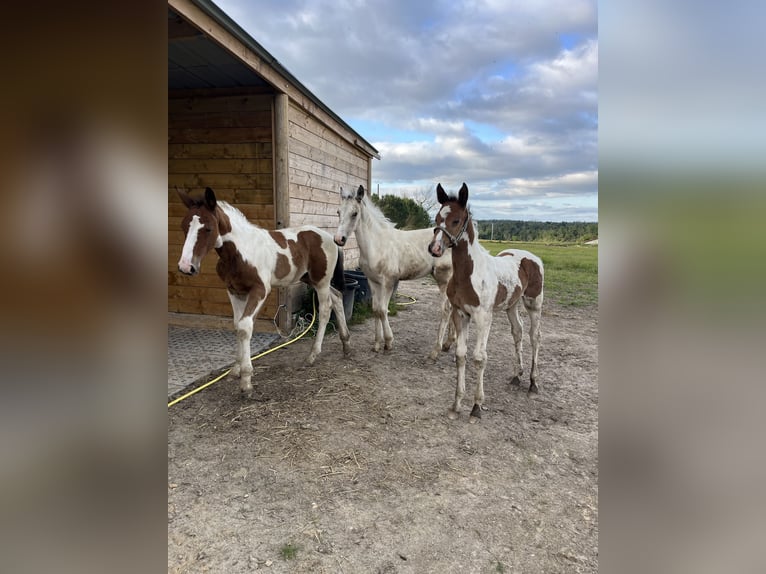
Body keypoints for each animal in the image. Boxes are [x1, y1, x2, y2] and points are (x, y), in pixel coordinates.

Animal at [177, 187, 352, 398]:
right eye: (184, 226)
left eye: (208, 228)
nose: (186, 267)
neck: (240, 252)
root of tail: (330, 238)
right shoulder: (234, 291)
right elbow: (237, 325)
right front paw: (235, 370)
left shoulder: (260, 290)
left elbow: (245, 326)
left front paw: (246, 381)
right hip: (310, 279)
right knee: (338, 297)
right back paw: (346, 345)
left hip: (321, 282)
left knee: (326, 309)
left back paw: (312, 355)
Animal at [332, 186, 452, 360]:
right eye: (338, 212)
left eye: (354, 213)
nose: (338, 239)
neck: (376, 244)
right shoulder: (372, 281)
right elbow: (376, 309)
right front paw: (376, 344)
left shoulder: (389, 281)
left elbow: (383, 310)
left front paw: (388, 342)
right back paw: (449, 344)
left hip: (444, 279)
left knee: (447, 310)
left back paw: (436, 350)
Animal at [428, 184, 544, 424]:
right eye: (437, 219)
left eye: (456, 220)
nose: (434, 248)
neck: (468, 273)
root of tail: (531, 257)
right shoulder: (460, 314)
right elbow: (461, 355)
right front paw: (456, 405)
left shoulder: (483, 317)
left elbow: (479, 358)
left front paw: (476, 407)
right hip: (511, 305)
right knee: (517, 332)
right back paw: (517, 376)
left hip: (534, 303)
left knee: (534, 337)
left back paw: (533, 383)